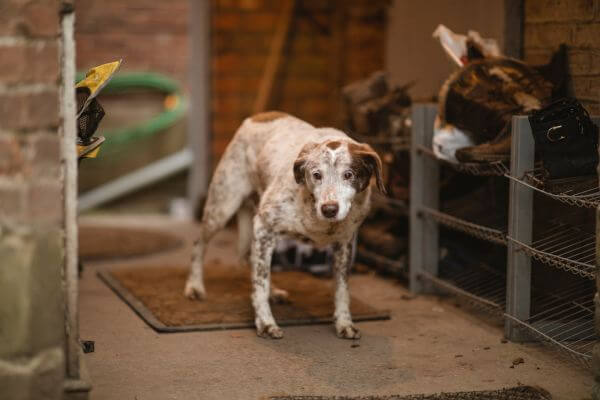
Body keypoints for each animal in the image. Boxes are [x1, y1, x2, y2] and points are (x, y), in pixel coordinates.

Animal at [185, 111, 386, 340]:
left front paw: (344, 323)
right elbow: (260, 284)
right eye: (316, 175)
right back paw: (194, 286)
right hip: (222, 207)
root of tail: (259, 116)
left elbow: (342, 290)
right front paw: (265, 323)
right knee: (199, 245)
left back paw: (273, 292)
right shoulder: (263, 226)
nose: (329, 209)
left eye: (349, 174)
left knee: (254, 261)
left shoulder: (344, 243)